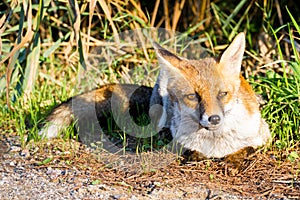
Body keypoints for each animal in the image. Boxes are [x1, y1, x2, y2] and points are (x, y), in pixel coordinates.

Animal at [38, 32, 270, 159]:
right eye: (193, 97)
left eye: (223, 94)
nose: (213, 118)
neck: (216, 142)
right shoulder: (181, 141)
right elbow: (191, 150)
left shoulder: (262, 136)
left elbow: (245, 149)